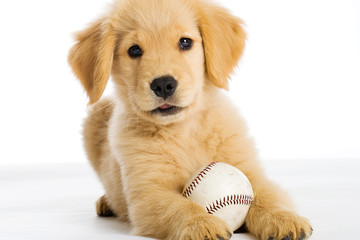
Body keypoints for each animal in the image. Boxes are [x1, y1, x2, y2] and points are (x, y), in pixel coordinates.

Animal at [67, 0, 312, 239]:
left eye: (185, 42)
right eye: (134, 50)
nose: (163, 84)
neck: (184, 129)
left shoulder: (250, 171)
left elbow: (266, 197)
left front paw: (282, 218)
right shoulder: (148, 193)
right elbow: (178, 207)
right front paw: (201, 224)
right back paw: (106, 202)